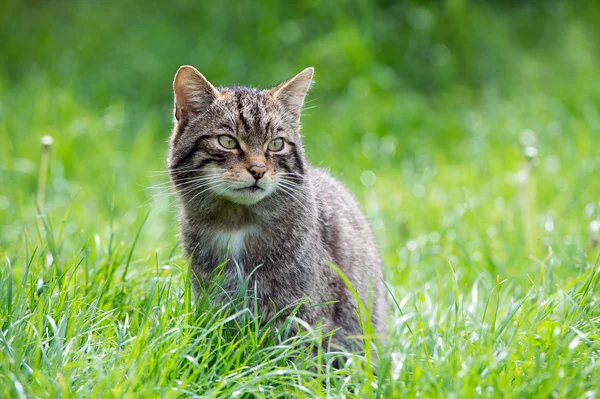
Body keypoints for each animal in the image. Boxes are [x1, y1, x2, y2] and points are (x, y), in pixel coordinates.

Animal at [168, 65, 390, 350]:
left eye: (276, 144)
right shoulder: (214, 302)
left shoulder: (303, 315)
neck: (237, 222)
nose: (258, 170)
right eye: (227, 141)